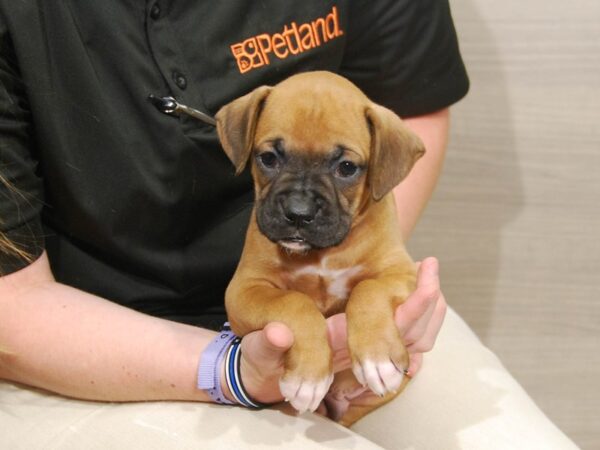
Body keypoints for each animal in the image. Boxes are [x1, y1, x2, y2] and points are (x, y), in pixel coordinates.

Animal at [216, 71, 426, 426]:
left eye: (346, 167)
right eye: (268, 158)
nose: (298, 213)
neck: (322, 252)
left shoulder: (399, 272)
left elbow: (368, 291)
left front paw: (377, 357)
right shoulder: (244, 290)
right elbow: (294, 302)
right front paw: (308, 375)